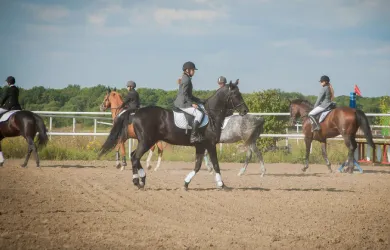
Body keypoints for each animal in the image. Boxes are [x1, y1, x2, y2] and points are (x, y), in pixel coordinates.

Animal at [99, 80, 248, 189]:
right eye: (236, 95)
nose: (245, 111)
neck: (211, 115)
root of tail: (135, 112)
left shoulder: (201, 145)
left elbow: (198, 165)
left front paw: (186, 183)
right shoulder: (210, 144)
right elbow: (216, 164)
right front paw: (222, 184)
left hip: (146, 141)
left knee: (135, 156)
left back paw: (140, 179)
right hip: (146, 141)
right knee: (135, 157)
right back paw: (139, 181)